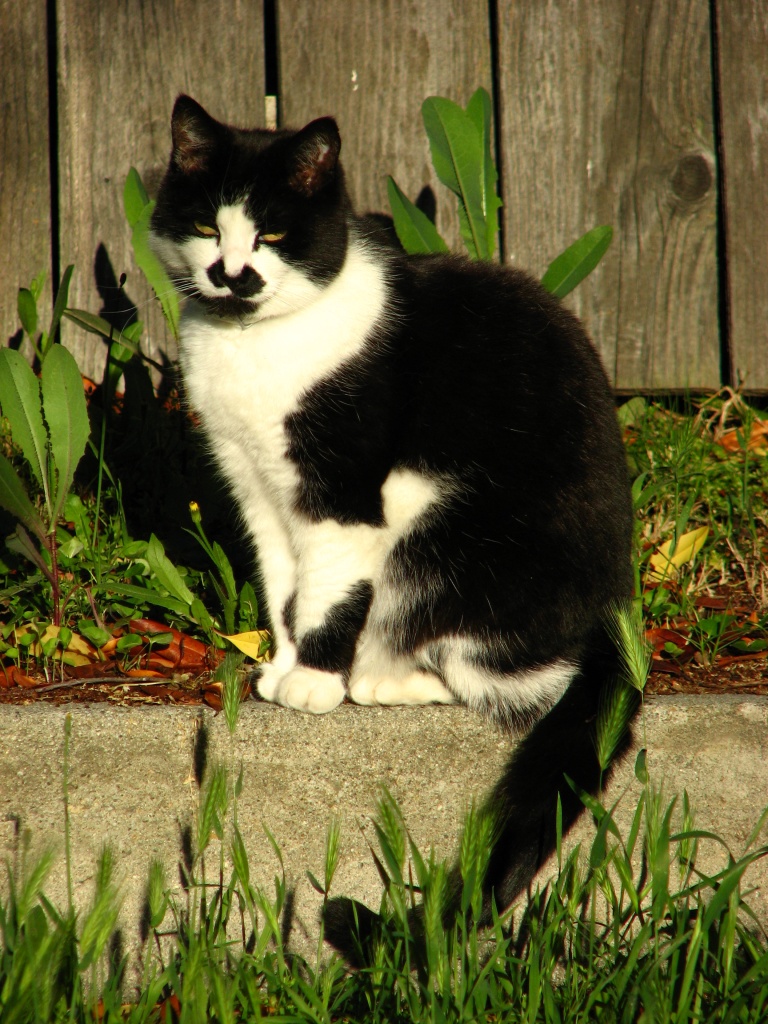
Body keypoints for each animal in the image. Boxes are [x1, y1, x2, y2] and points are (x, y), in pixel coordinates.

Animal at [151, 96, 638, 925]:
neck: (253, 351)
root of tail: (613, 615)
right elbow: (284, 592)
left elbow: (326, 592)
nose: (232, 272)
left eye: (272, 234)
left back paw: (379, 678)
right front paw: (284, 664)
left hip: (452, 546)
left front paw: (315, 680)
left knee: (527, 680)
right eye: (209, 226)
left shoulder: (341, 493)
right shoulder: (257, 492)